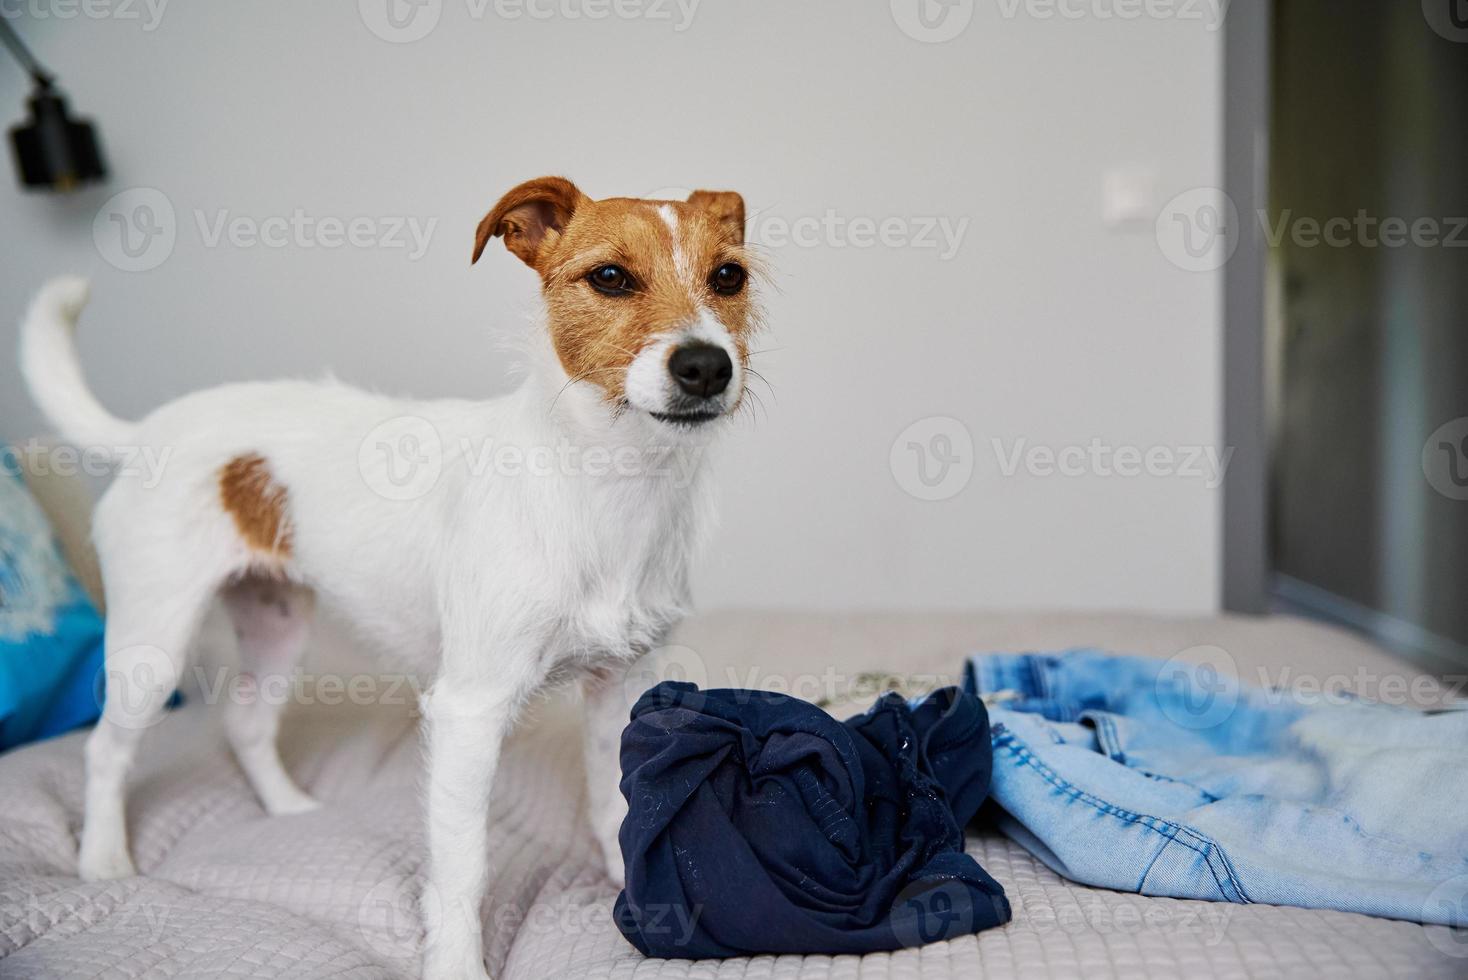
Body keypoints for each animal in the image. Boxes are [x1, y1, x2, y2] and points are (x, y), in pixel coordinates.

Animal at [17, 178, 763, 979]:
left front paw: (638, 896)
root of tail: (150, 434)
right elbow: (463, 868)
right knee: (105, 749)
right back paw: (103, 862)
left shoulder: (620, 686)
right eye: (611, 277)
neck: (609, 484)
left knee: (246, 722)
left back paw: (288, 811)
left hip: (277, 622)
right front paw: (457, 967)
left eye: (729, 277)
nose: (706, 366)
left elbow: (619, 808)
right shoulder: (469, 712)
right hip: (153, 641)